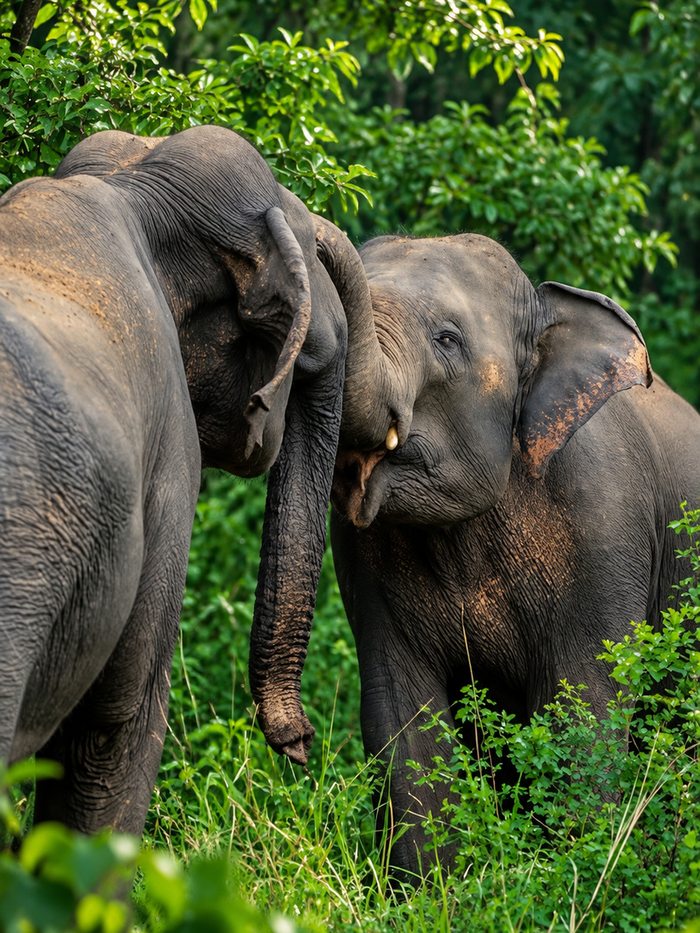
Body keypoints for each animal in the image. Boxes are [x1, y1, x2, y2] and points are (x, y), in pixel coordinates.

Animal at [330, 233, 700, 878]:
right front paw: (432, 892)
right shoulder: (359, 551)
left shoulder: (605, 522)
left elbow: (584, 705)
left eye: (447, 339)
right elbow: (402, 716)